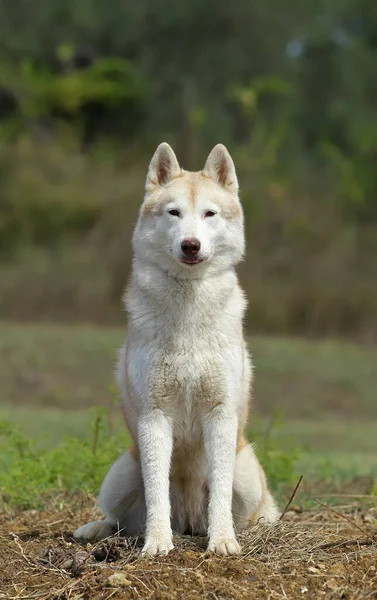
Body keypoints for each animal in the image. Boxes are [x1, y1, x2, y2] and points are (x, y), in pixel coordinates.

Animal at [74, 143, 280, 556]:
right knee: (119, 522)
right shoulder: (154, 416)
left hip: (248, 475)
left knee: (255, 515)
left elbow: (219, 492)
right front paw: (156, 544)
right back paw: (96, 530)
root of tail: (188, 521)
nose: (190, 244)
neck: (188, 313)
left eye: (209, 214)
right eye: (174, 213)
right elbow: (156, 491)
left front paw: (222, 542)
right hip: (121, 474)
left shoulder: (219, 414)